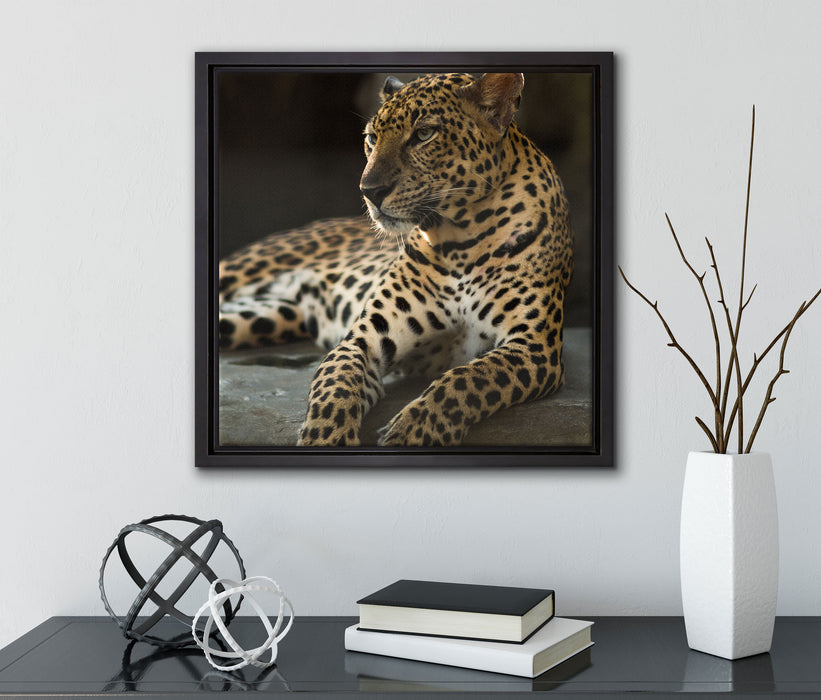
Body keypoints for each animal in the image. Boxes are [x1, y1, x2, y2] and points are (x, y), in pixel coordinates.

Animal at [218, 72, 574, 447]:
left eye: (424, 134)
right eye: (372, 138)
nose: (369, 191)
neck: (459, 240)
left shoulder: (534, 346)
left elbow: (469, 379)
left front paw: (413, 432)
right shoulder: (363, 340)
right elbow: (335, 386)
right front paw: (325, 439)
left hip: (261, 318)